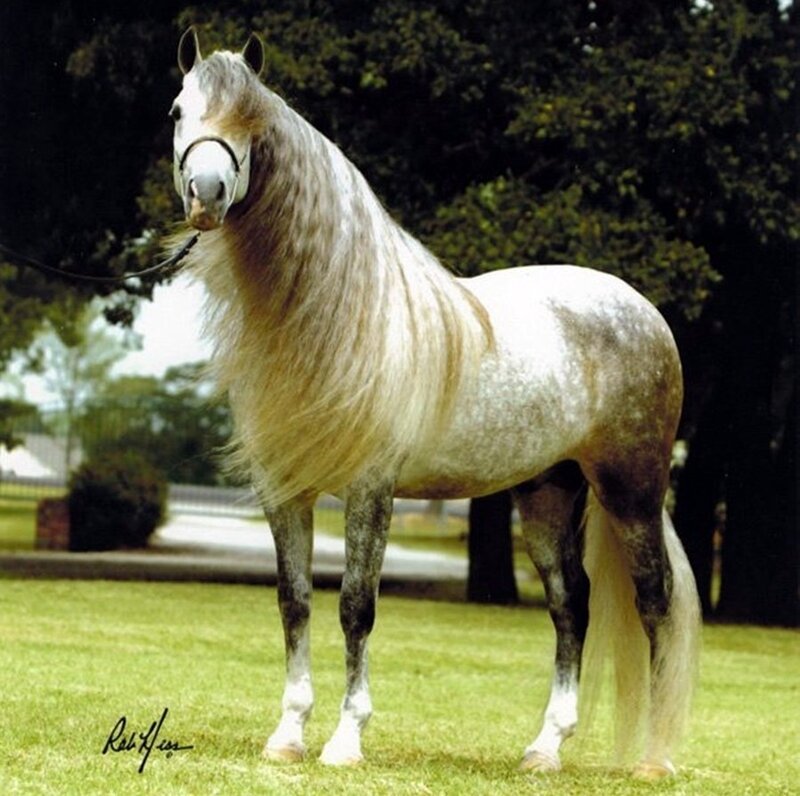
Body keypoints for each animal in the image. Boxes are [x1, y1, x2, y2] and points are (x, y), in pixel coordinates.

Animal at [168, 27, 700, 780]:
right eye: (177, 110)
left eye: (256, 124)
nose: (207, 192)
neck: (339, 320)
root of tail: (641, 309)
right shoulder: (285, 489)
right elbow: (294, 602)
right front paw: (287, 735)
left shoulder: (371, 489)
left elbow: (355, 607)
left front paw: (345, 741)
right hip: (547, 491)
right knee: (572, 605)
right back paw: (545, 748)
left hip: (631, 491)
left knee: (654, 602)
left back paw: (654, 758)